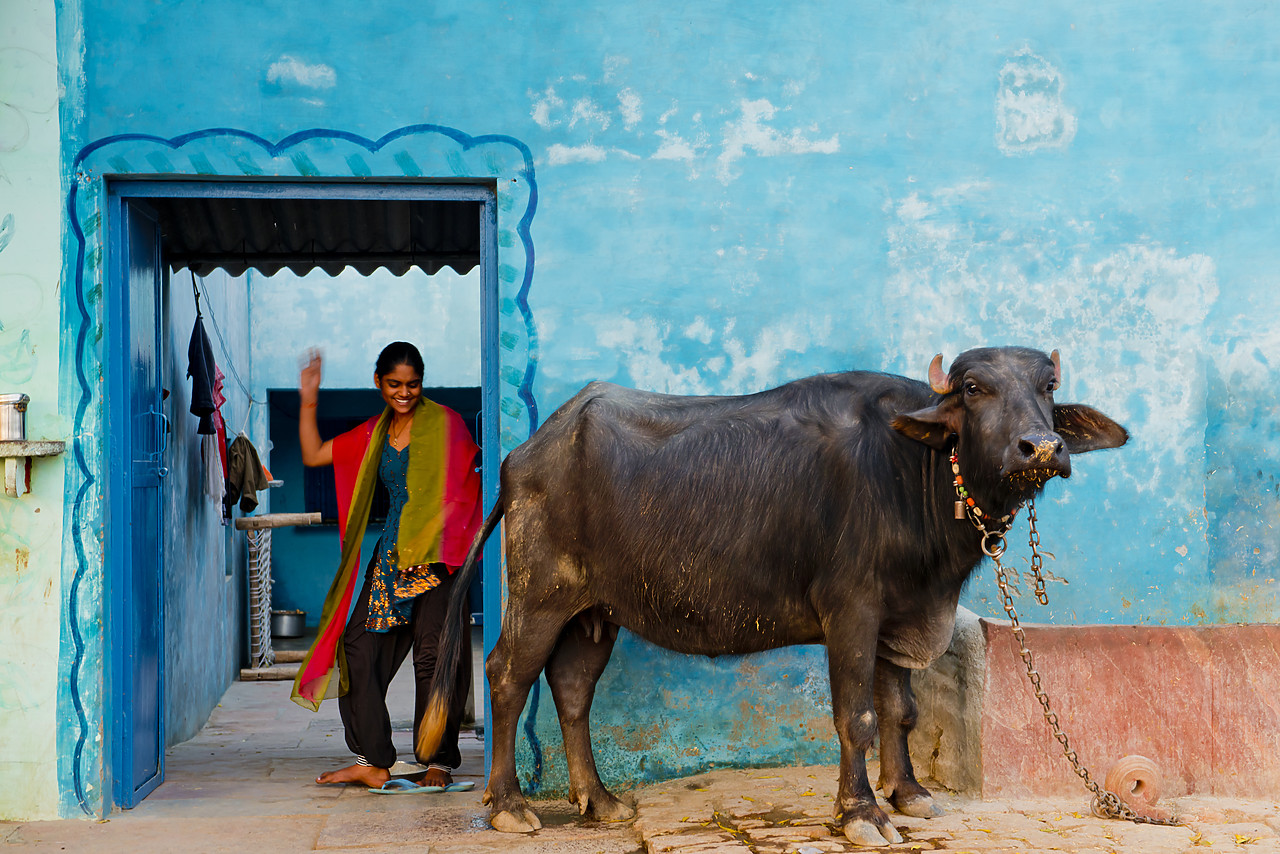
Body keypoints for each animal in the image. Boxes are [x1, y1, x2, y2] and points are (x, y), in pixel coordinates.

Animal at [414, 348, 1126, 850]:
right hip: (540, 594)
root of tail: (523, 457)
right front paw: (862, 813)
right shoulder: (851, 611)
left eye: (1048, 388)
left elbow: (901, 711)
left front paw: (908, 793)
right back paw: (509, 806)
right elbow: (858, 716)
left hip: (596, 612)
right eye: (974, 389)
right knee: (507, 676)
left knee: (571, 688)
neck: (913, 471)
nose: (1041, 447)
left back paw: (602, 800)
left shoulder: (901, 614)